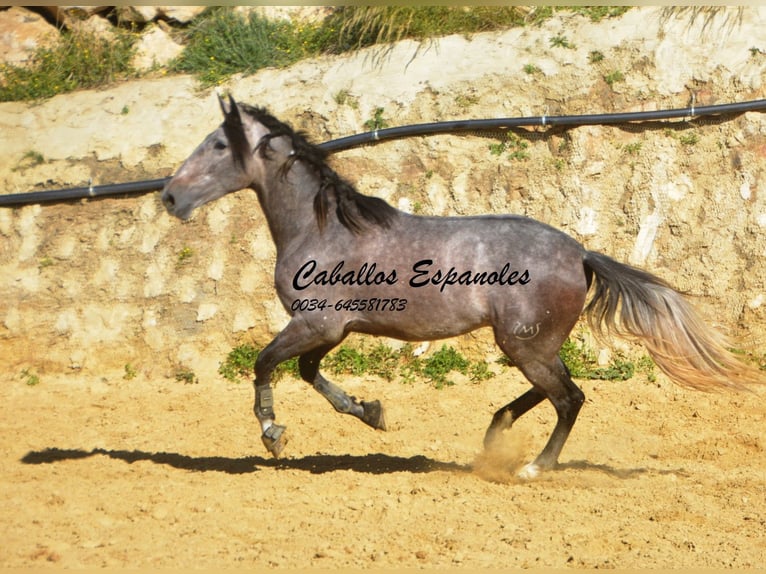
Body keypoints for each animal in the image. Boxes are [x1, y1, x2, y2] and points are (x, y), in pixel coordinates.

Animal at [162, 95, 760, 482]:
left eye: (218, 145)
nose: (169, 196)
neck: (323, 228)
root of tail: (581, 253)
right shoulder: (333, 331)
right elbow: (310, 374)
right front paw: (371, 412)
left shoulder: (316, 324)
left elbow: (264, 363)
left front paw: (273, 433)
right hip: (529, 342)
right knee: (554, 389)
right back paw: (496, 434)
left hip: (522, 342)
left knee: (569, 397)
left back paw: (531, 467)